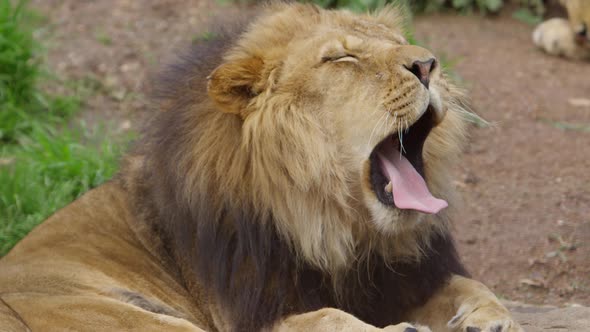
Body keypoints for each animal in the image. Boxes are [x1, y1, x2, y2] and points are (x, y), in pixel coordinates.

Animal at [1, 3, 528, 332]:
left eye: (401, 41)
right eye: (343, 57)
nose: (428, 64)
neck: (332, 230)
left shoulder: (394, 276)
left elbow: (467, 284)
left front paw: (489, 316)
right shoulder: (249, 313)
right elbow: (325, 318)